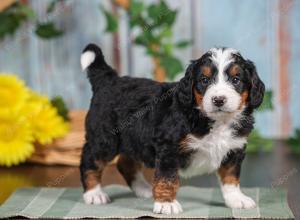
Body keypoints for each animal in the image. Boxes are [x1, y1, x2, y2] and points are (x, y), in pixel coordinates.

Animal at [79, 44, 264, 215]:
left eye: (235, 80)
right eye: (204, 80)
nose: (218, 99)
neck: (215, 120)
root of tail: (108, 81)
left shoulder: (234, 148)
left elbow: (231, 177)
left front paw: (236, 199)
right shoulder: (169, 147)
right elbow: (167, 178)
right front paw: (166, 203)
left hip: (134, 140)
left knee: (125, 163)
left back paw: (143, 189)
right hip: (104, 139)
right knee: (90, 161)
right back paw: (94, 194)